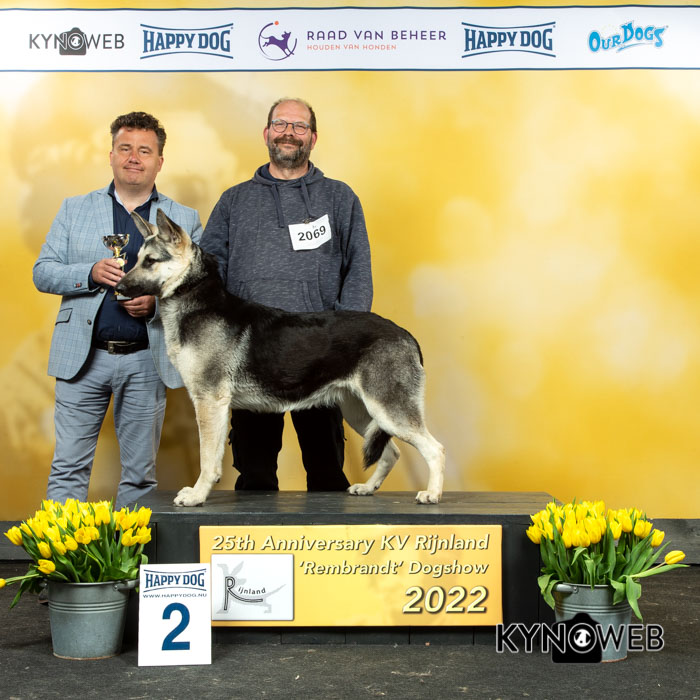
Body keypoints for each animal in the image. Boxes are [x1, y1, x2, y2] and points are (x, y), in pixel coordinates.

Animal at [117, 209, 445, 506]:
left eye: (150, 261)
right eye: (136, 259)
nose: (118, 288)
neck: (196, 297)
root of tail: (405, 334)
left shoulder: (209, 403)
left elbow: (208, 458)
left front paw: (197, 496)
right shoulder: (214, 406)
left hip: (388, 411)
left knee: (435, 450)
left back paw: (432, 494)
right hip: (363, 413)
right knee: (392, 453)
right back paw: (367, 488)